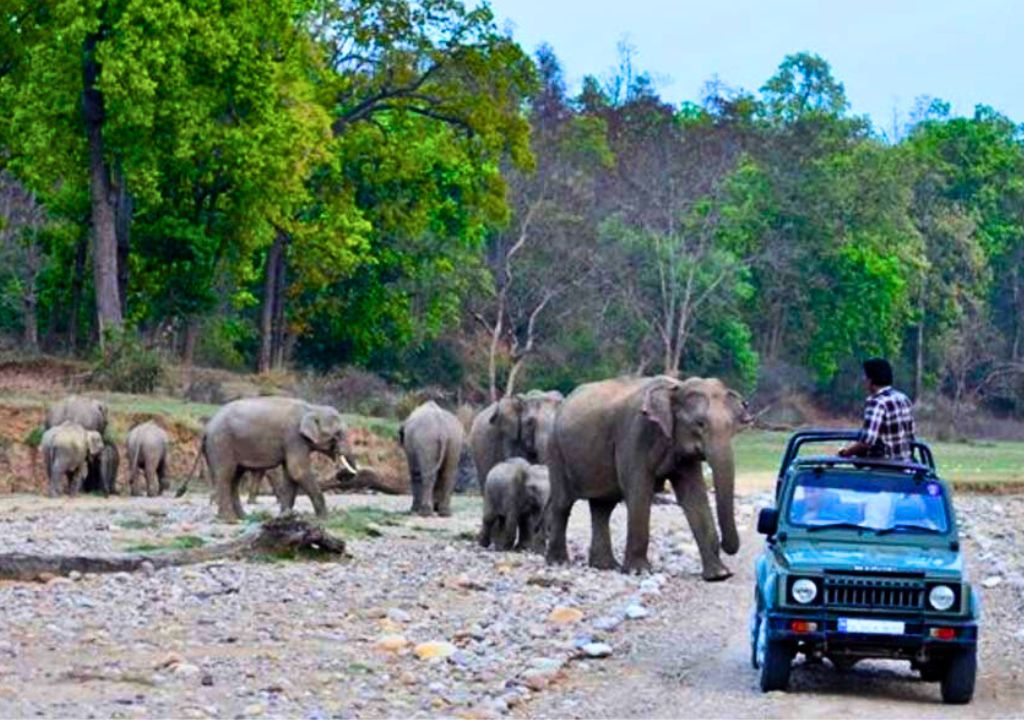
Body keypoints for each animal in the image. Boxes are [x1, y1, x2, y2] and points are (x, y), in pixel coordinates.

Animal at [177, 397, 357, 522]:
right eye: (337, 434)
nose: (344, 474)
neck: (312, 408)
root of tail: (206, 428)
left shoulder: (292, 442)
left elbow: (290, 474)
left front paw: (285, 516)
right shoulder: (293, 437)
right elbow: (298, 470)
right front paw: (324, 518)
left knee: (234, 478)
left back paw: (243, 517)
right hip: (221, 444)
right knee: (225, 476)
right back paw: (229, 519)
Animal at [545, 376, 752, 580]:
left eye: (732, 428)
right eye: (700, 424)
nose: (726, 545)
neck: (675, 388)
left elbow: (694, 496)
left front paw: (719, 575)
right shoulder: (634, 435)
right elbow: (639, 491)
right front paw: (639, 572)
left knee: (603, 507)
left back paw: (605, 566)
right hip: (555, 450)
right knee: (563, 504)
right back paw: (558, 562)